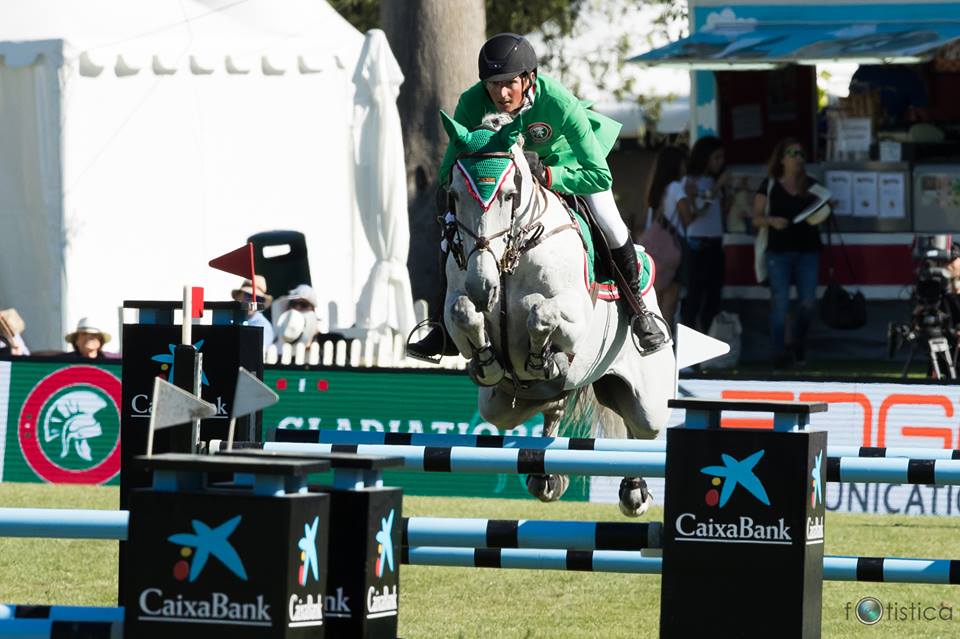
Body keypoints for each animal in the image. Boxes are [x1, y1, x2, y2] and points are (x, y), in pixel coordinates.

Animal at [436, 111, 676, 516]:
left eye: (509, 194)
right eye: (453, 195)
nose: (483, 285)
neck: (510, 256)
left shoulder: (573, 314)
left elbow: (540, 312)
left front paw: (542, 356)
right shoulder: (458, 300)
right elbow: (462, 311)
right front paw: (488, 361)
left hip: (649, 401)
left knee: (640, 430)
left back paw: (635, 492)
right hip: (500, 405)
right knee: (550, 404)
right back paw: (547, 474)